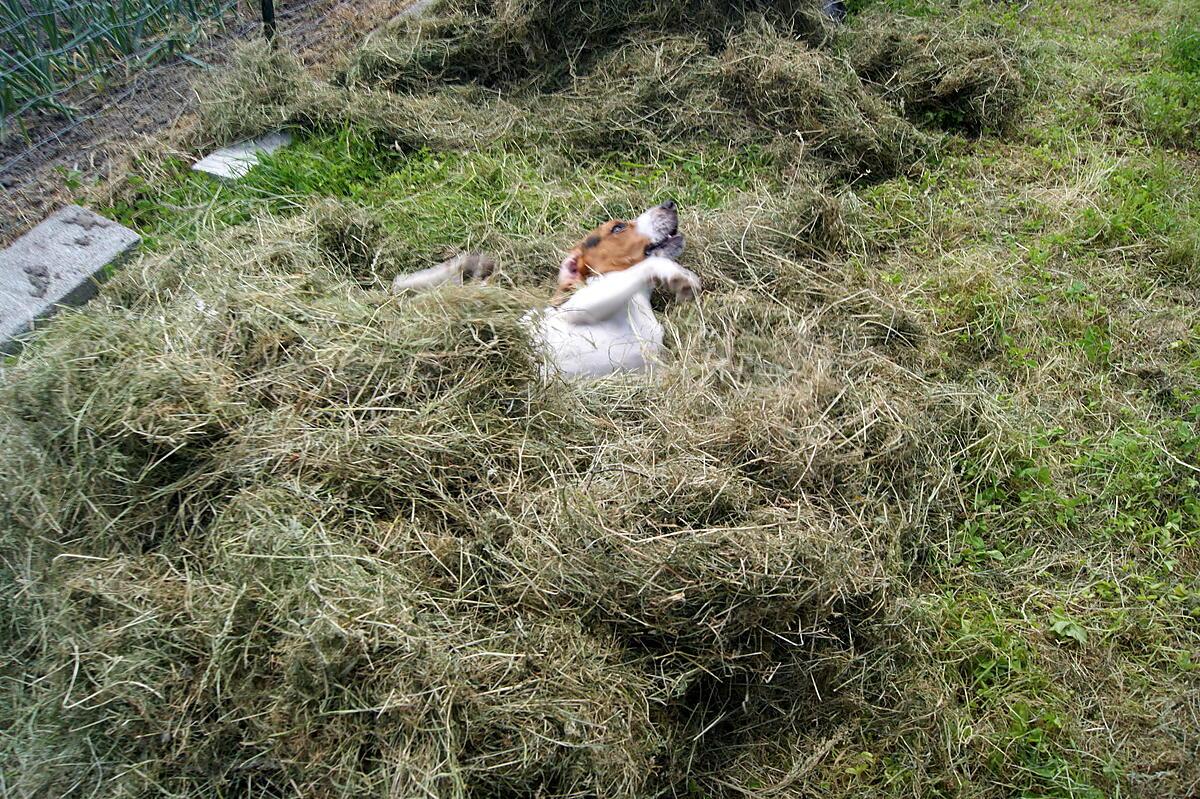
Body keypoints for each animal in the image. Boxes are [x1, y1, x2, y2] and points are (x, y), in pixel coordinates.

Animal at [388, 200, 700, 379]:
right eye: (618, 227)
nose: (669, 203)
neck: (637, 304)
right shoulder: (581, 306)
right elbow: (644, 268)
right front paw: (676, 275)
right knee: (401, 287)